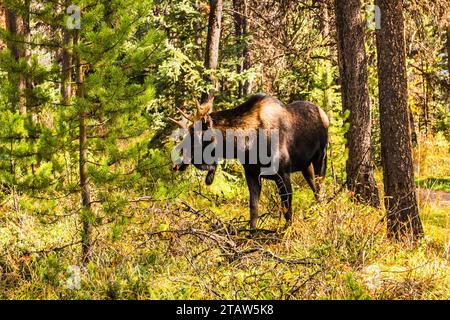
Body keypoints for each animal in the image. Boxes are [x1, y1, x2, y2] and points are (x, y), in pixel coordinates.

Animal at [171, 92, 328, 230]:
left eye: (195, 136)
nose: (176, 163)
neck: (245, 144)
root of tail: (324, 114)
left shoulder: (283, 173)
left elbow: (287, 208)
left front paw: (288, 232)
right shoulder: (251, 174)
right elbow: (253, 208)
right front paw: (251, 235)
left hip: (321, 157)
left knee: (321, 189)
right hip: (305, 166)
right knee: (315, 190)